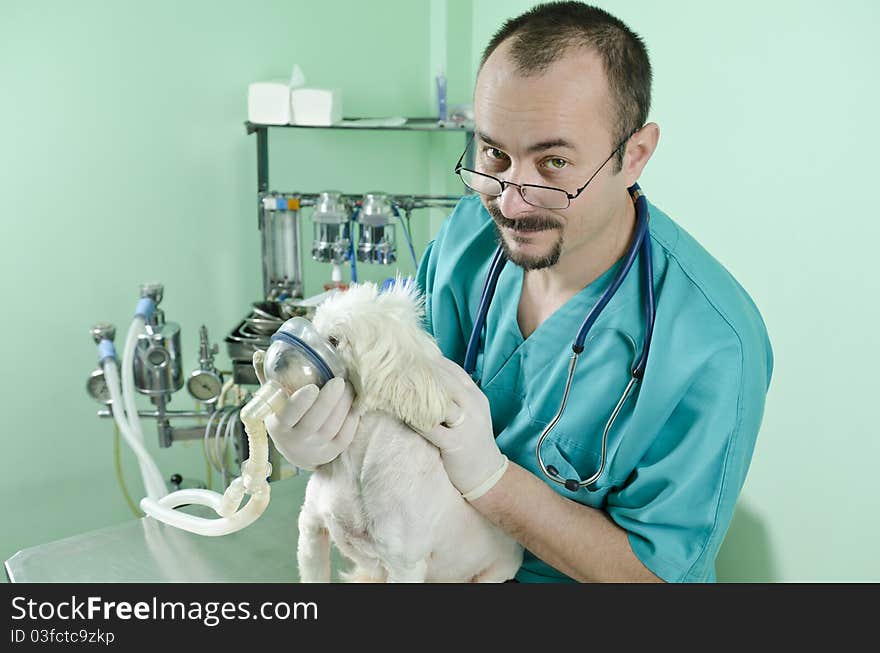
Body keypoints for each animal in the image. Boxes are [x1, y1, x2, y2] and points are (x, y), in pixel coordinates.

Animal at [294, 278, 524, 584]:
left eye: (333, 340)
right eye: (313, 323)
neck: (355, 463)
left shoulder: (403, 565)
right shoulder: (311, 528)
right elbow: (313, 572)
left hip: (495, 572)